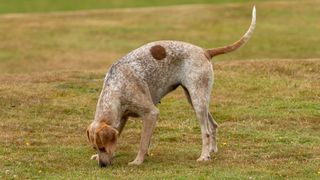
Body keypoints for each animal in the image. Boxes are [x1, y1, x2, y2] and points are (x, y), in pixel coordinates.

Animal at [85, 5, 255, 167]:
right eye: (96, 148)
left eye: (102, 147)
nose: (102, 166)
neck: (116, 88)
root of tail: (204, 51)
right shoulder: (122, 118)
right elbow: (122, 137)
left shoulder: (151, 114)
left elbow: (143, 143)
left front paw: (138, 161)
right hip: (195, 99)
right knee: (213, 125)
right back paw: (212, 151)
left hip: (197, 100)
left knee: (206, 131)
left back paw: (204, 156)